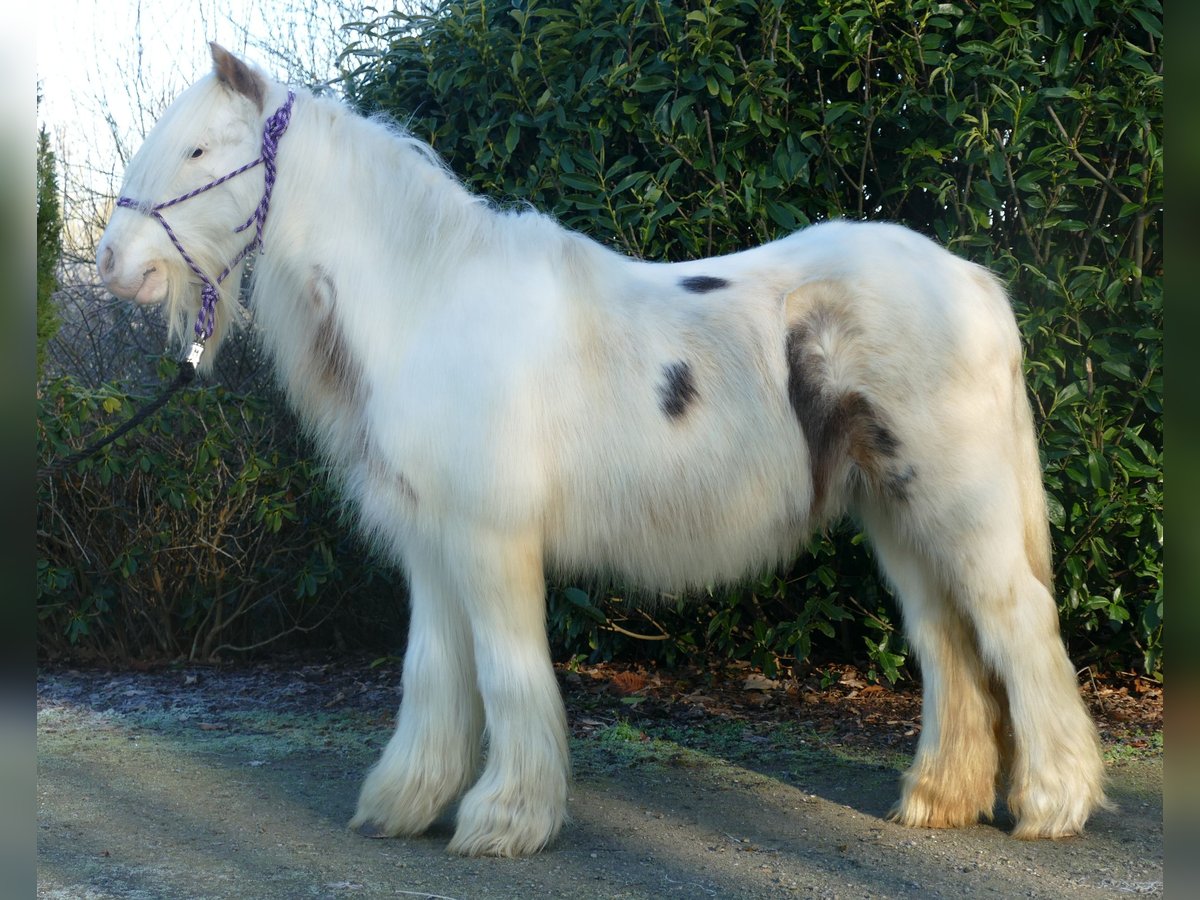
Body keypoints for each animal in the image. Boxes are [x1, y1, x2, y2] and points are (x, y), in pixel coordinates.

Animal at [96, 44, 1104, 859]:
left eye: (197, 152)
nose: (111, 264)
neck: (428, 299)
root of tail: (971, 280)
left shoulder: (492, 541)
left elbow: (507, 675)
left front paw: (505, 820)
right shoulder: (432, 547)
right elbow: (434, 673)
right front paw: (406, 802)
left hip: (958, 508)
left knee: (1019, 625)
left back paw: (1054, 804)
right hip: (898, 513)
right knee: (946, 641)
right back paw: (939, 800)